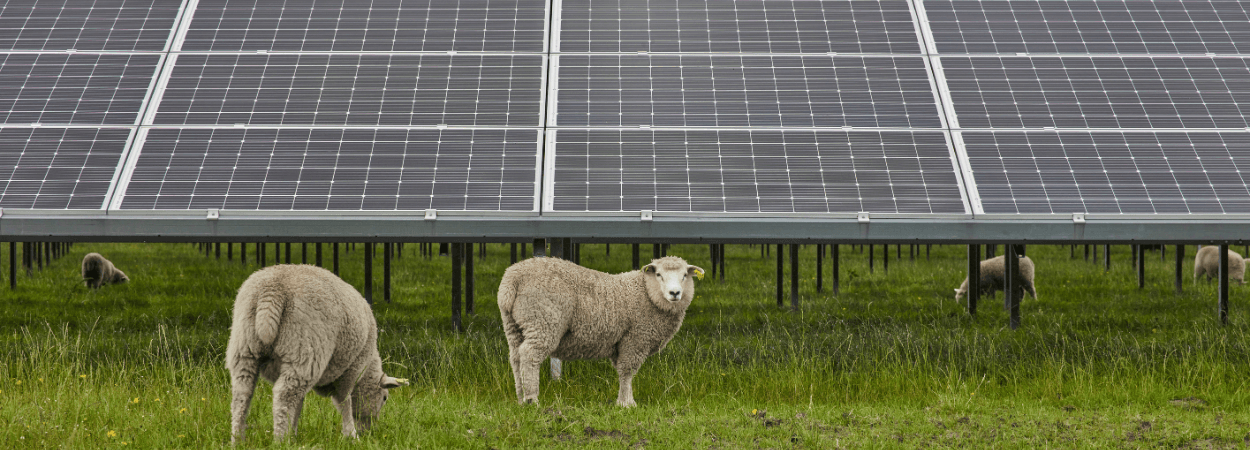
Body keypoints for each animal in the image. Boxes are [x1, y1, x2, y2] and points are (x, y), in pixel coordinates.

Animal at [226, 264, 407, 444]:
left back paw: (238, 439)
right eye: (384, 398)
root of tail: (272, 290)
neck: (368, 367)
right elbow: (344, 402)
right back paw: (279, 440)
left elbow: (299, 404)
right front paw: (351, 435)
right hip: (305, 349)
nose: (369, 431)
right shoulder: (351, 369)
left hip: (244, 348)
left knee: (242, 395)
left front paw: (294, 434)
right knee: (284, 396)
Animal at [497, 256, 704, 407]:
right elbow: (627, 371)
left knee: (515, 357)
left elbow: (623, 371)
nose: (675, 293)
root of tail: (512, 279)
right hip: (543, 320)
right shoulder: (635, 339)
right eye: (659, 274)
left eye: (684, 275)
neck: (647, 293)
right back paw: (532, 399)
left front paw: (625, 400)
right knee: (529, 355)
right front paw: (626, 404)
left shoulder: (620, 343)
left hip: (515, 324)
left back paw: (520, 398)